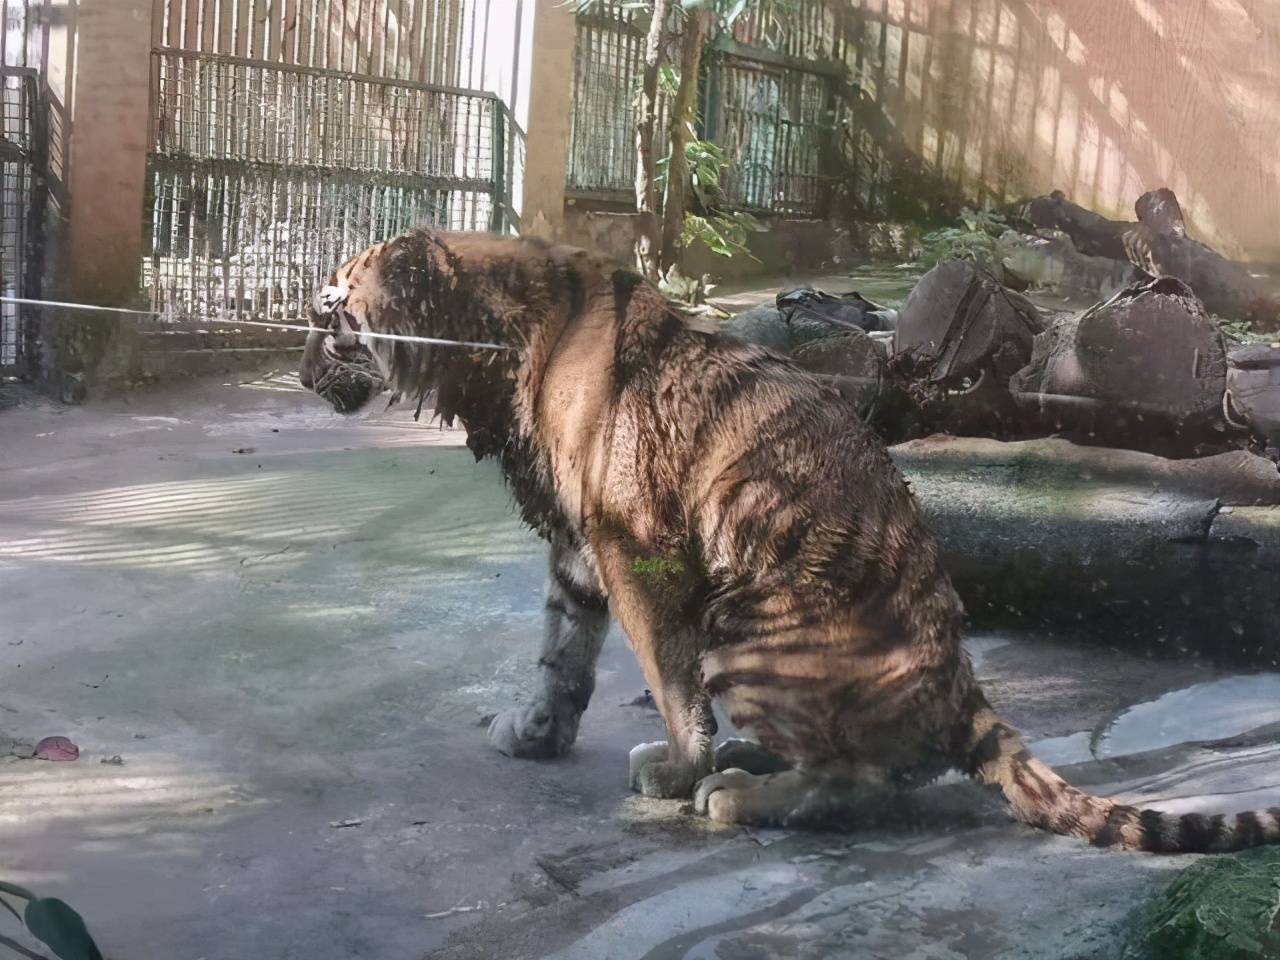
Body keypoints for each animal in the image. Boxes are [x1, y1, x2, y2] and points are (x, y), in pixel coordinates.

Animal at [299, 227, 1280, 852]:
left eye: (328, 315)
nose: (302, 376)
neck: (485, 348)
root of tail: (959, 679)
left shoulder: (635, 546)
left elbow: (664, 677)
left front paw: (677, 763)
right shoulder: (579, 545)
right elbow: (560, 648)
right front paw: (537, 730)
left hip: (745, 614)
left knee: (867, 781)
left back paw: (732, 789)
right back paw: (745, 760)